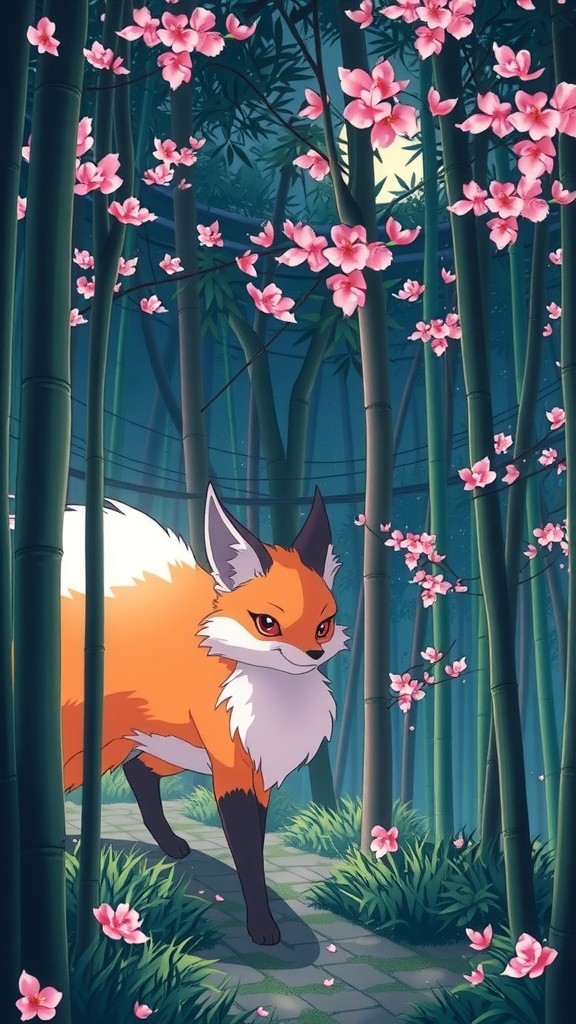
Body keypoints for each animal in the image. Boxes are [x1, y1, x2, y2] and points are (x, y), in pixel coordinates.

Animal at [60, 484, 347, 945]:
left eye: (324, 626)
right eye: (268, 624)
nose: (314, 654)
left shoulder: (256, 771)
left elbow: (254, 845)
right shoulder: (232, 770)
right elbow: (247, 853)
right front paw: (262, 927)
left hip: (159, 747)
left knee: (138, 770)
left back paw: (171, 844)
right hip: (88, 749)